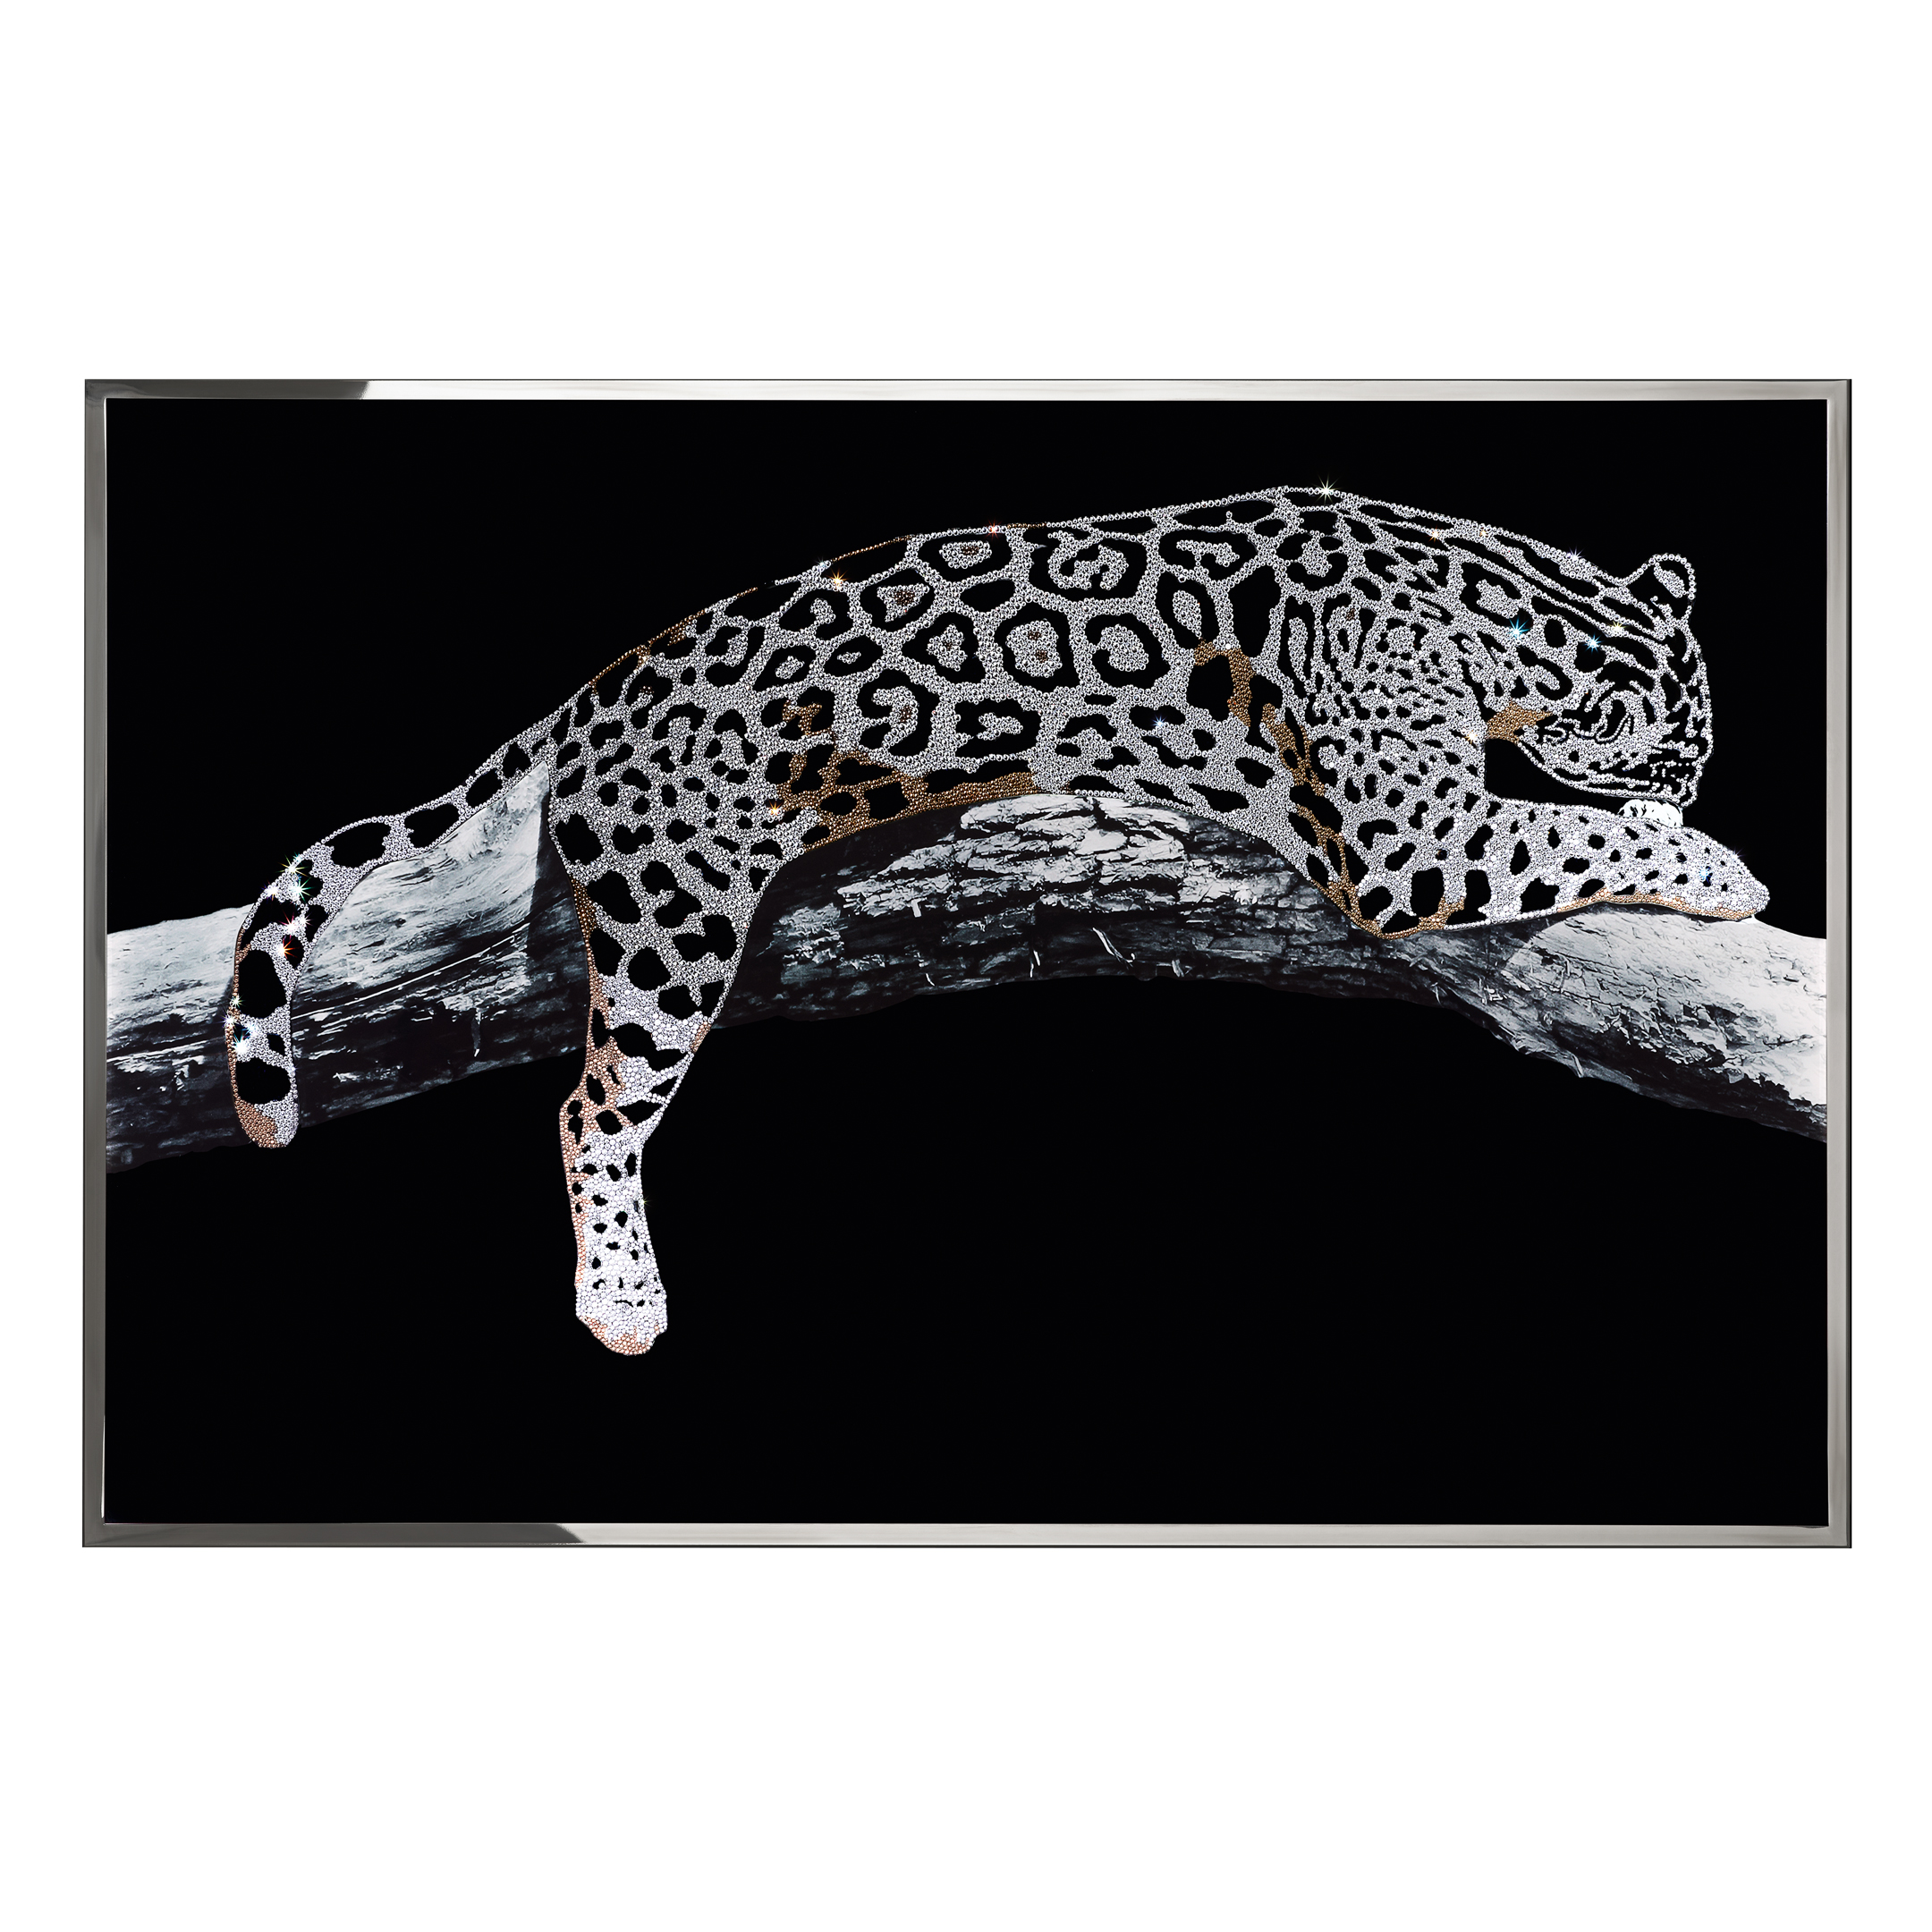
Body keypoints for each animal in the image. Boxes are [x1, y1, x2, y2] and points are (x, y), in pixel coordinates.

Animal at [226, 485, 1766, 1354]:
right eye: (1684, 755)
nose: (1699, 787)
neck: (1503, 602)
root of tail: (592, 689)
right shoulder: (1412, 839)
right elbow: (1564, 830)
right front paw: (1720, 864)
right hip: (673, 923)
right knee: (592, 1105)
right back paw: (620, 1301)